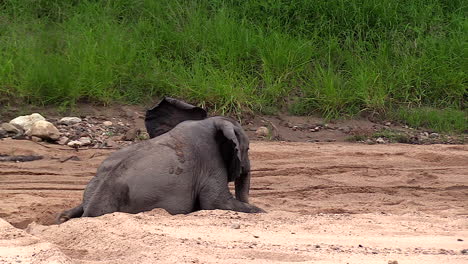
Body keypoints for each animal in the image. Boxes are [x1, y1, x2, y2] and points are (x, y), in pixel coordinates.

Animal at [55, 97, 264, 223]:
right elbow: (214, 203)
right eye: (247, 149)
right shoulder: (210, 160)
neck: (209, 122)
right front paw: (262, 211)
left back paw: (63, 218)